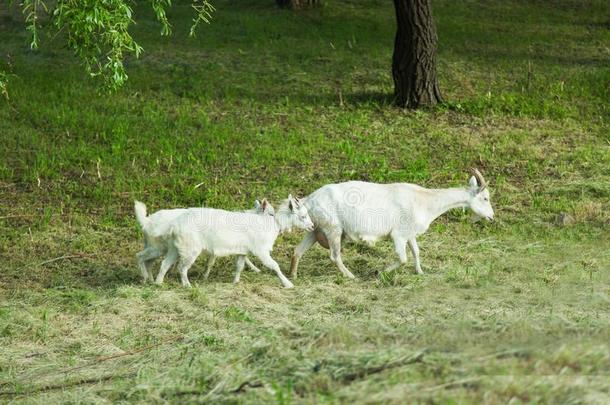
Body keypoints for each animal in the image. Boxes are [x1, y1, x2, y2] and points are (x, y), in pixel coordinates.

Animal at [156, 195, 314, 288]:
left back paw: (158, 283)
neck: (273, 224)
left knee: (165, 264)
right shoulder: (261, 250)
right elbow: (274, 265)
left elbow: (239, 266)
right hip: (190, 249)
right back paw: (187, 285)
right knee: (182, 268)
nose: (312, 226)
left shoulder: (242, 251)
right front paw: (288, 284)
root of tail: (175, 225)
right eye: (303, 216)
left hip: (175, 247)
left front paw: (235, 282)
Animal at [288, 167, 492, 278]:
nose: (492, 217)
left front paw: (420, 272)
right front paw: (381, 273)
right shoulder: (398, 235)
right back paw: (350, 275)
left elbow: (416, 252)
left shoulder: (410, 233)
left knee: (297, 251)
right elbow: (403, 258)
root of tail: (309, 199)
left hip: (313, 229)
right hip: (333, 229)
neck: (424, 200)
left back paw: (293, 275)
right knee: (334, 255)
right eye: (485, 198)